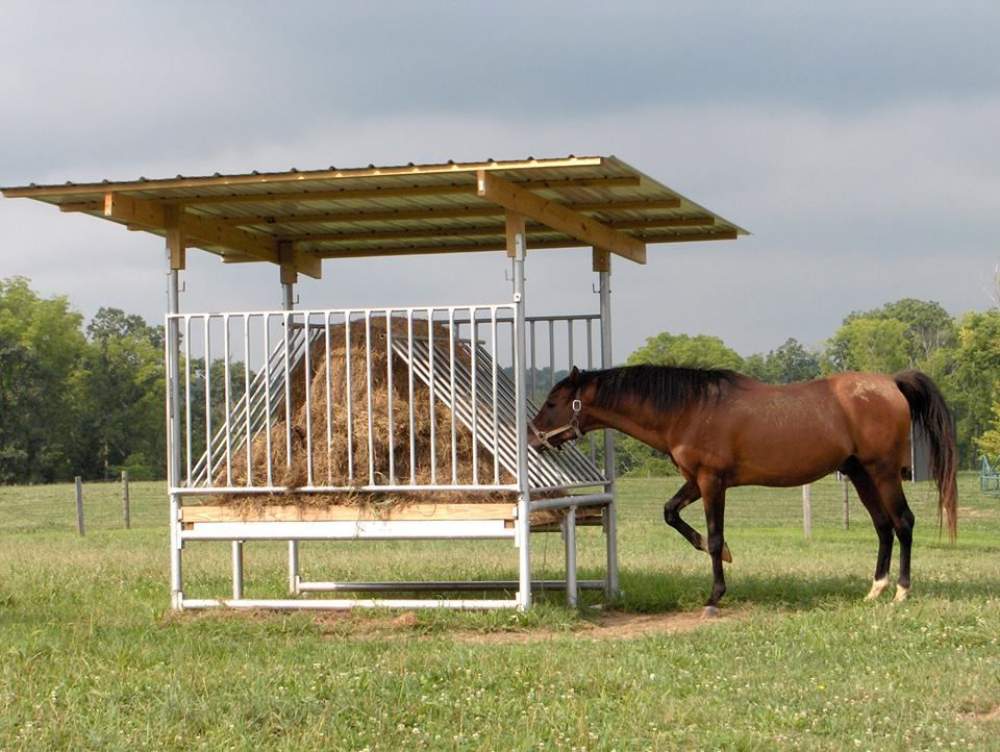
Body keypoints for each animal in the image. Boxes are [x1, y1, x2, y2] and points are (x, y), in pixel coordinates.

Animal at [528, 366, 956, 616]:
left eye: (553, 401)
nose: (532, 437)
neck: (690, 408)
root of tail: (891, 383)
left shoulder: (711, 481)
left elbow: (716, 536)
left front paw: (714, 596)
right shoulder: (695, 480)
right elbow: (671, 512)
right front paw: (717, 553)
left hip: (882, 471)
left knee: (902, 522)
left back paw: (901, 591)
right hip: (859, 473)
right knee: (883, 526)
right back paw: (875, 590)